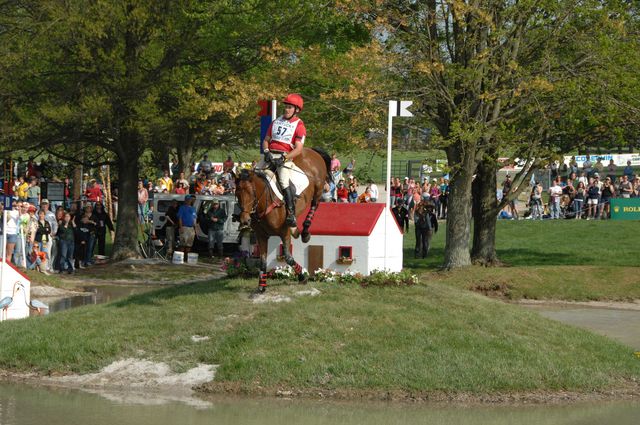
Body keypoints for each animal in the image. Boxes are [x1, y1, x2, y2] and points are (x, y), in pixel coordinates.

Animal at [238, 147, 332, 292]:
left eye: (251, 193)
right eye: (237, 192)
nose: (244, 220)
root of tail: (311, 150)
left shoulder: (284, 233)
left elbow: (288, 257)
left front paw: (302, 277)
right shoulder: (261, 236)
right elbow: (263, 261)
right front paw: (262, 286)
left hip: (318, 187)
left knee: (314, 205)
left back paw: (304, 232)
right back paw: (297, 230)